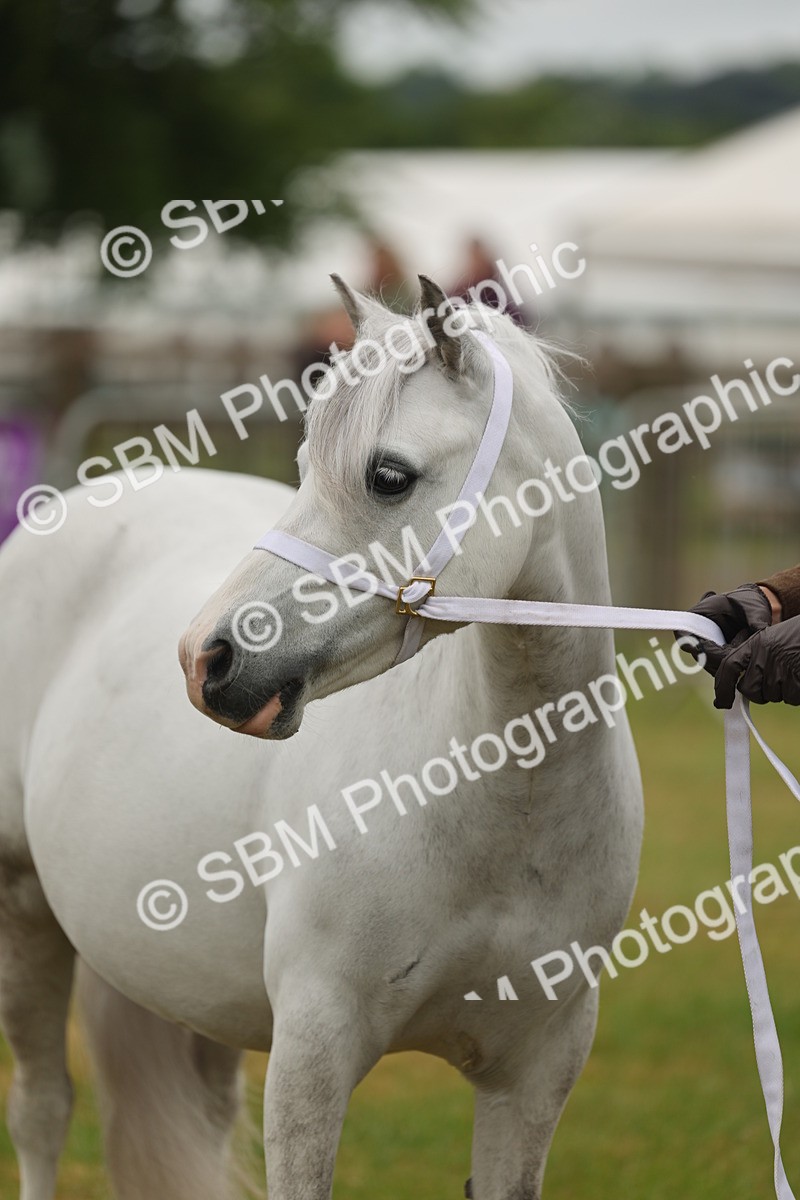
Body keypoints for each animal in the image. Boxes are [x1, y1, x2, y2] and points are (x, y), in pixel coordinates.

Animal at [0, 276, 643, 1200]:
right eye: (305, 467)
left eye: (388, 476)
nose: (205, 658)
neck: (498, 802)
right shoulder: (313, 1053)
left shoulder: (535, 1076)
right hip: (23, 911)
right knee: (43, 1111)